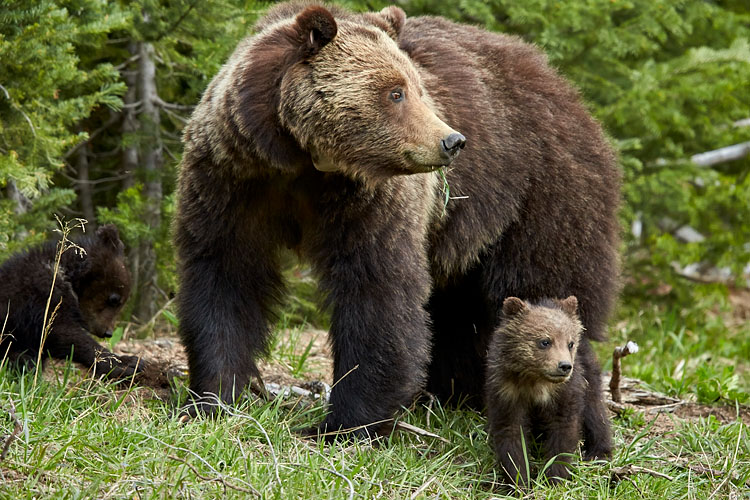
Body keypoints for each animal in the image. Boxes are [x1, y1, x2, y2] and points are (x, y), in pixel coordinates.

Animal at [174, 0, 618, 457]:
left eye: (418, 88)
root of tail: (565, 87)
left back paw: (588, 436)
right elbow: (225, 277)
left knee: (544, 290)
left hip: (538, 196)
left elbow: (379, 294)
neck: (301, 162)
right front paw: (213, 398)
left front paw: (345, 426)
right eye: (395, 92)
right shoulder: (233, 181)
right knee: (461, 312)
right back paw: (455, 395)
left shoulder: (370, 203)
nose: (453, 140)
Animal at [486, 296, 589, 486]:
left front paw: (553, 477)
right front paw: (519, 480)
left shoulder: (565, 392)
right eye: (545, 341)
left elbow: (563, 431)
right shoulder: (507, 391)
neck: (535, 379)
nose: (564, 366)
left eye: (570, 343)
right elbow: (511, 434)